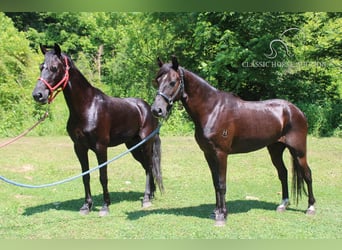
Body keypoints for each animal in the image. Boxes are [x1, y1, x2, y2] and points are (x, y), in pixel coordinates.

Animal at [32, 44, 164, 216]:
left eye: (54, 68)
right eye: (41, 66)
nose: (38, 95)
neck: (87, 107)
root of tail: (147, 108)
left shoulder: (101, 147)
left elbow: (103, 176)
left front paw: (105, 206)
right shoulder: (79, 148)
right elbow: (85, 176)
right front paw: (86, 206)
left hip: (145, 144)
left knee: (149, 166)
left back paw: (147, 199)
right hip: (133, 146)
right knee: (147, 166)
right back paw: (151, 194)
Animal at [151, 55, 316, 226]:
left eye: (172, 82)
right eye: (157, 80)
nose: (157, 110)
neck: (212, 109)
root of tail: (295, 110)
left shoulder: (221, 154)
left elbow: (222, 184)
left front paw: (222, 216)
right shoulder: (208, 154)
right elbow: (215, 183)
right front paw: (216, 212)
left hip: (299, 151)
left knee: (307, 174)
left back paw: (310, 207)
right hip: (275, 149)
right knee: (283, 173)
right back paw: (283, 204)